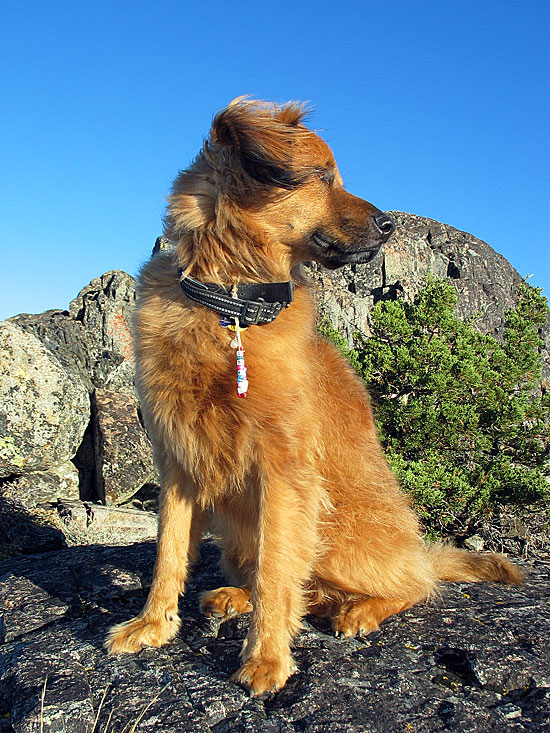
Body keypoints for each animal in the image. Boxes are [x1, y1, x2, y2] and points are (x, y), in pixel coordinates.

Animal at [105, 97, 524, 692]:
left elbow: (279, 568)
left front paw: (266, 658)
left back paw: (362, 608)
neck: (230, 307)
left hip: (339, 534)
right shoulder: (178, 462)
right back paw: (236, 596)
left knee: (411, 582)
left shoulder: (284, 471)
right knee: (296, 585)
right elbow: (168, 554)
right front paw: (153, 626)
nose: (390, 225)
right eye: (323, 176)